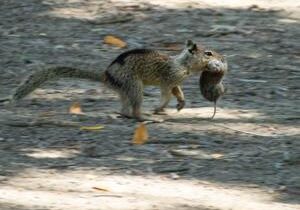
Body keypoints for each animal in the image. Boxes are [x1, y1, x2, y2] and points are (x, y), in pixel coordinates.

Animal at [0, 40, 227, 120]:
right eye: (208, 53)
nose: (223, 58)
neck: (182, 64)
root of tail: (106, 76)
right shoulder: (168, 79)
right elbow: (166, 94)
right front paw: (160, 107)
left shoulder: (175, 82)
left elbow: (177, 91)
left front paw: (181, 103)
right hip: (134, 86)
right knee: (134, 110)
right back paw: (146, 117)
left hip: (125, 90)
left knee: (124, 109)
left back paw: (128, 114)